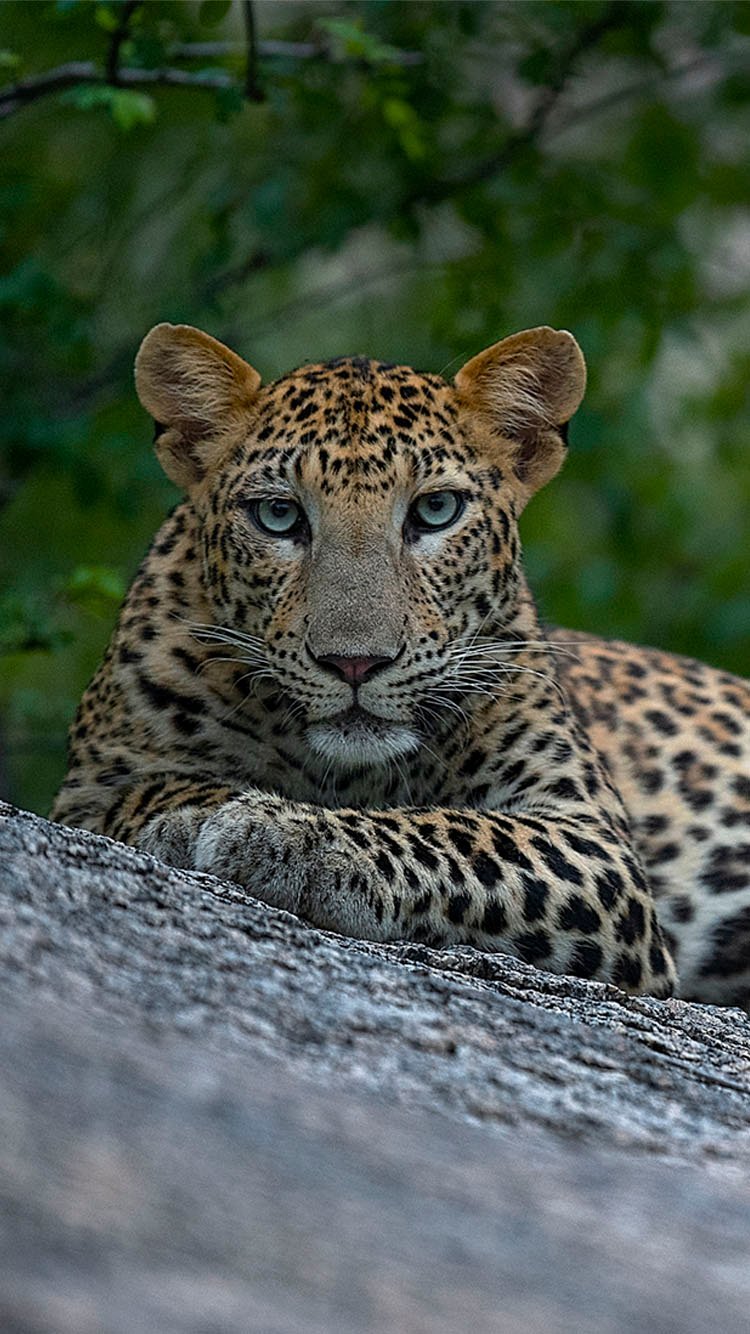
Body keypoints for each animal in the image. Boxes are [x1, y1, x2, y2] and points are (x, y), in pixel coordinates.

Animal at [50, 322, 750, 1006]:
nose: (355, 664)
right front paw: (198, 812)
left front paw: (285, 836)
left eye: (436, 511)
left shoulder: (594, 844)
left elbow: (456, 834)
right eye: (278, 515)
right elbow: (149, 788)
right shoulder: (86, 790)